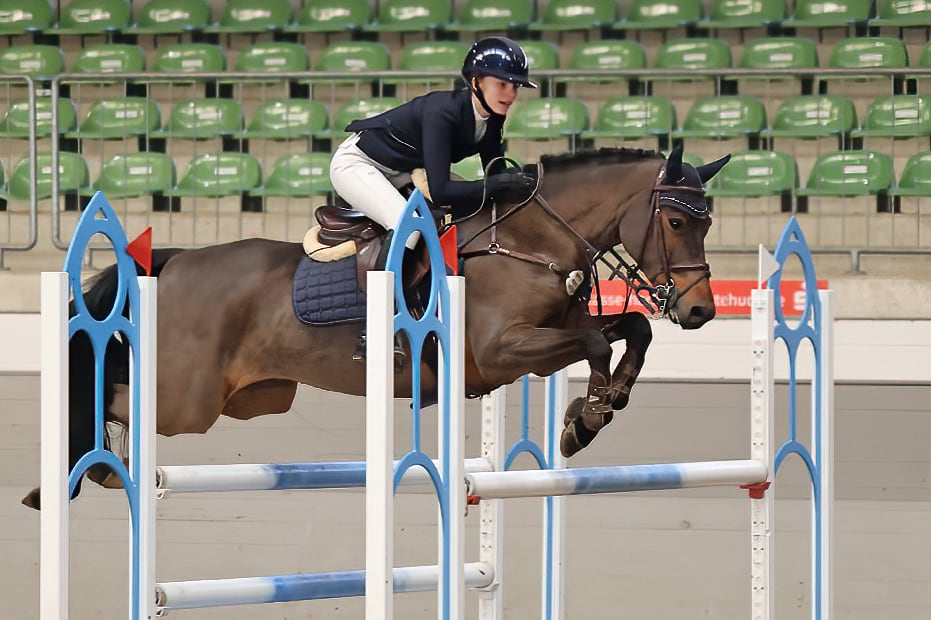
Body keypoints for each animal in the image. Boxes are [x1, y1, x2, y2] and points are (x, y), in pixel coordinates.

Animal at [21, 145, 732, 508]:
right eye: (675, 221)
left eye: (706, 222)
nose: (700, 311)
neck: (530, 241)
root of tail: (173, 260)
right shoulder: (500, 353)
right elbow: (592, 340)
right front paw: (586, 418)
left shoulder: (549, 333)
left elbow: (632, 329)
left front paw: (601, 406)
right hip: (186, 399)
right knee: (116, 393)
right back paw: (89, 465)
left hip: (251, 398)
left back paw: (96, 469)